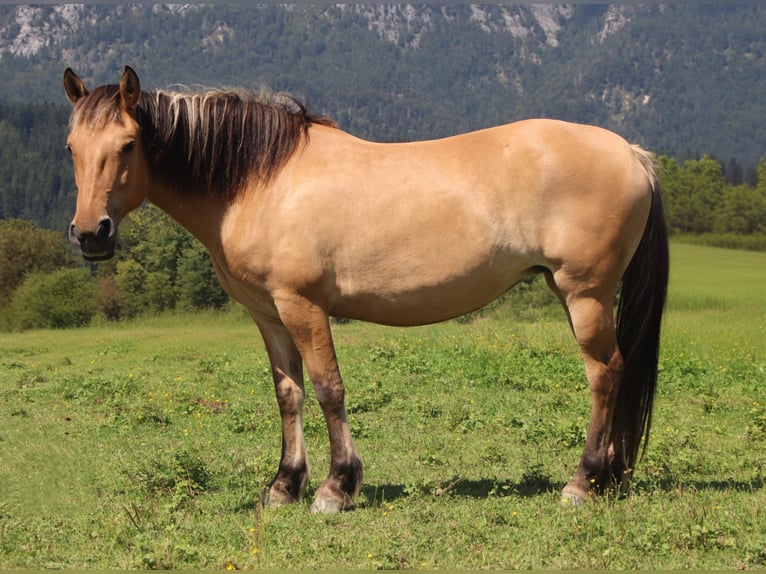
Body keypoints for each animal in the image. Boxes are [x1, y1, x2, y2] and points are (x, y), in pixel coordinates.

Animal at [63, 66, 668, 513]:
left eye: (129, 145)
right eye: (71, 146)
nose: (91, 234)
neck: (262, 181)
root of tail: (632, 153)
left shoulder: (303, 306)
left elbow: (329, 389)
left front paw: (335, 488)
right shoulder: (268, 314)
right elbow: (289, 394)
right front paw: (283, 487)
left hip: (585, 295)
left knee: (605, 375)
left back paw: (583, 483)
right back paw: (610, 478)